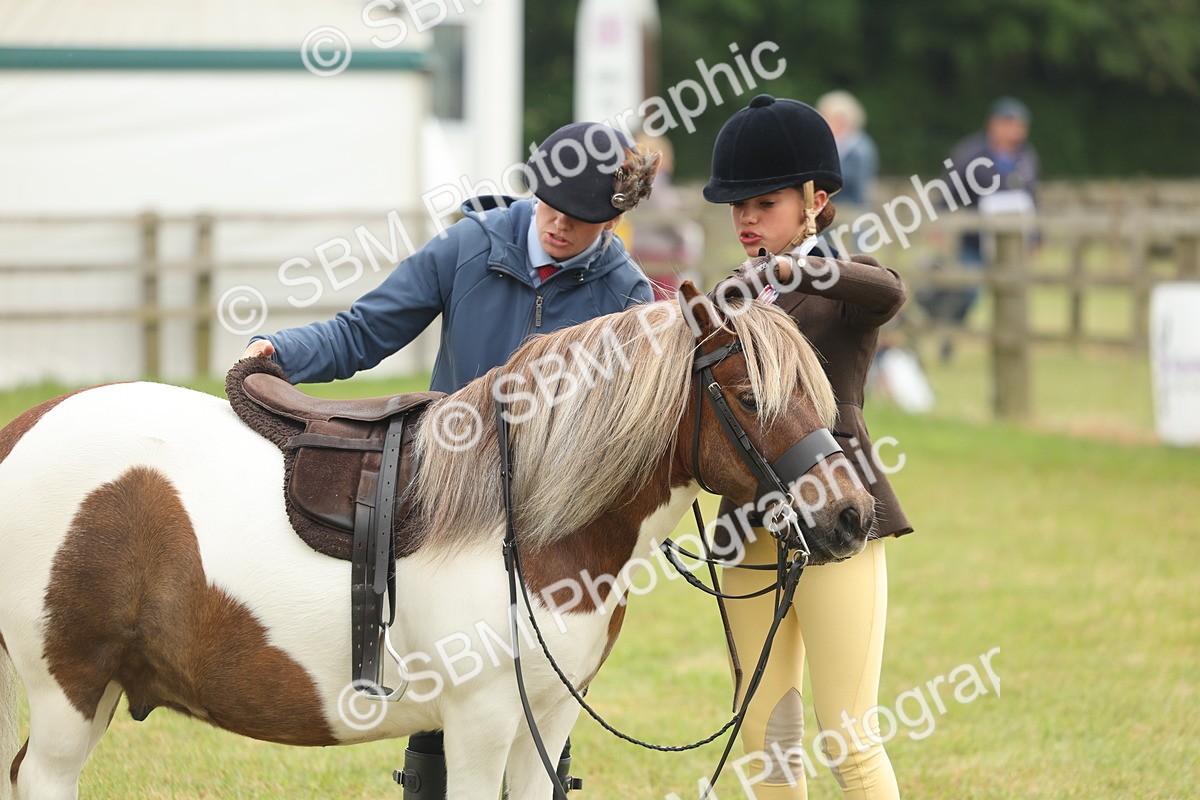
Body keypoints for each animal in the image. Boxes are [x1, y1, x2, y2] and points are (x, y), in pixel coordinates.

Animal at [0, 283, 874, 800]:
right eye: (752, 395)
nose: (851, 517)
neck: (524, 521)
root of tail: (21, 429)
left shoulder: (546, 720)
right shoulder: (480, 724)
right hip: (66, 694)